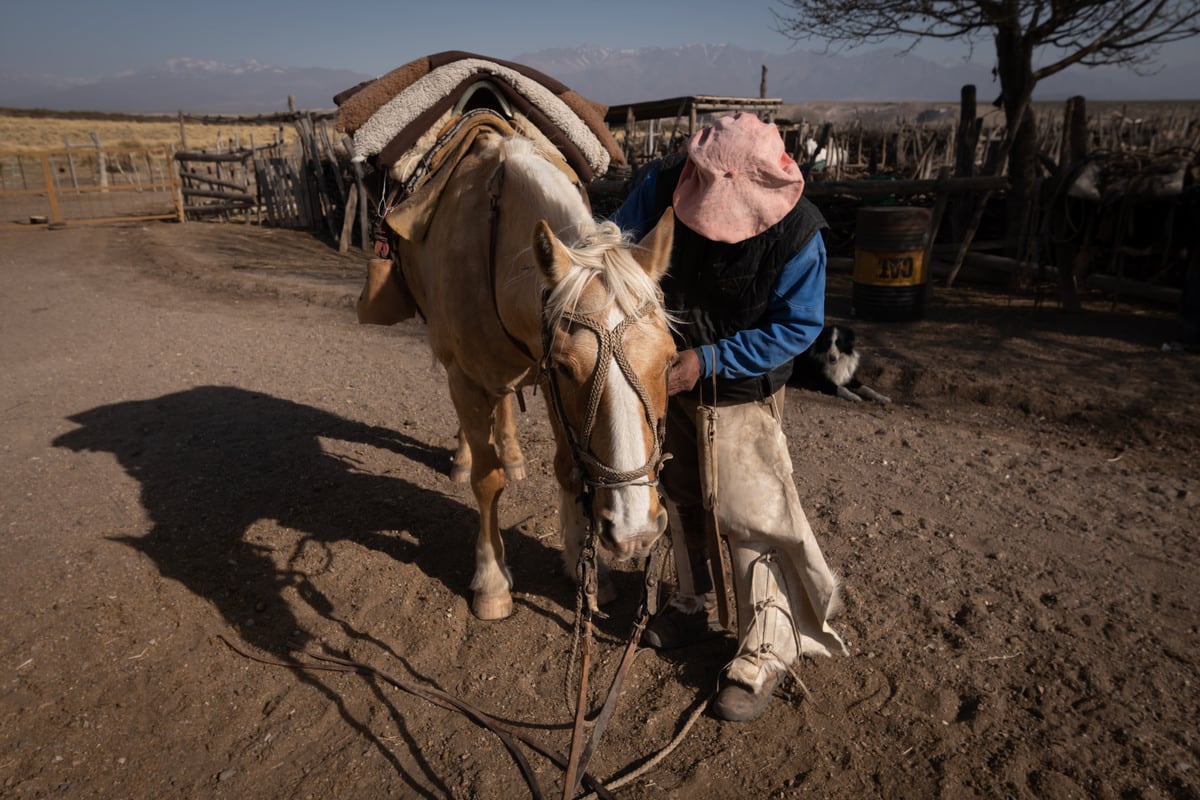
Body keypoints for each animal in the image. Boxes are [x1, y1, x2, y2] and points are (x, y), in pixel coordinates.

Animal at [391, 130, 676, 618]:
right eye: (567, 365)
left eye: (670, 360)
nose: (634, 530)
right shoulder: (479, 380)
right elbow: (487, 480)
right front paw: (491, 581)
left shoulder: (546, 381)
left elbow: (568, 470)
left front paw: (585, 570)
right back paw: (464, 458)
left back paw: (513, 453)